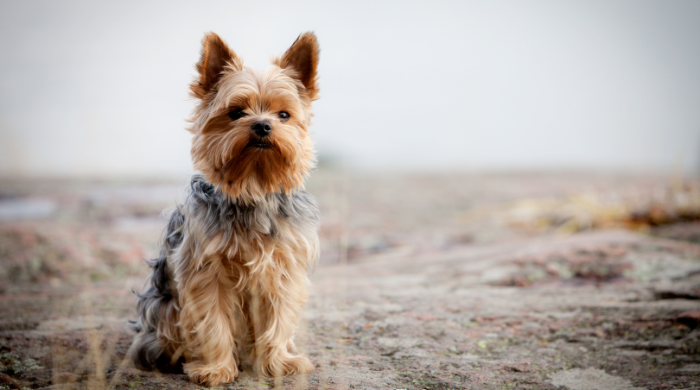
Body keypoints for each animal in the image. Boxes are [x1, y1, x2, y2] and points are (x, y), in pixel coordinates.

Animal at [128, 32, 320, 386]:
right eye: (236, 112)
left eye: (284, 115)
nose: (262, 126)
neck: (253, 187)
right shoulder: (206, 271)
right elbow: (212, 321)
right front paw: (216, 369)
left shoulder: (282, 269)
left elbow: (279, 317)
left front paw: (278, 362)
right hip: (163, 307)